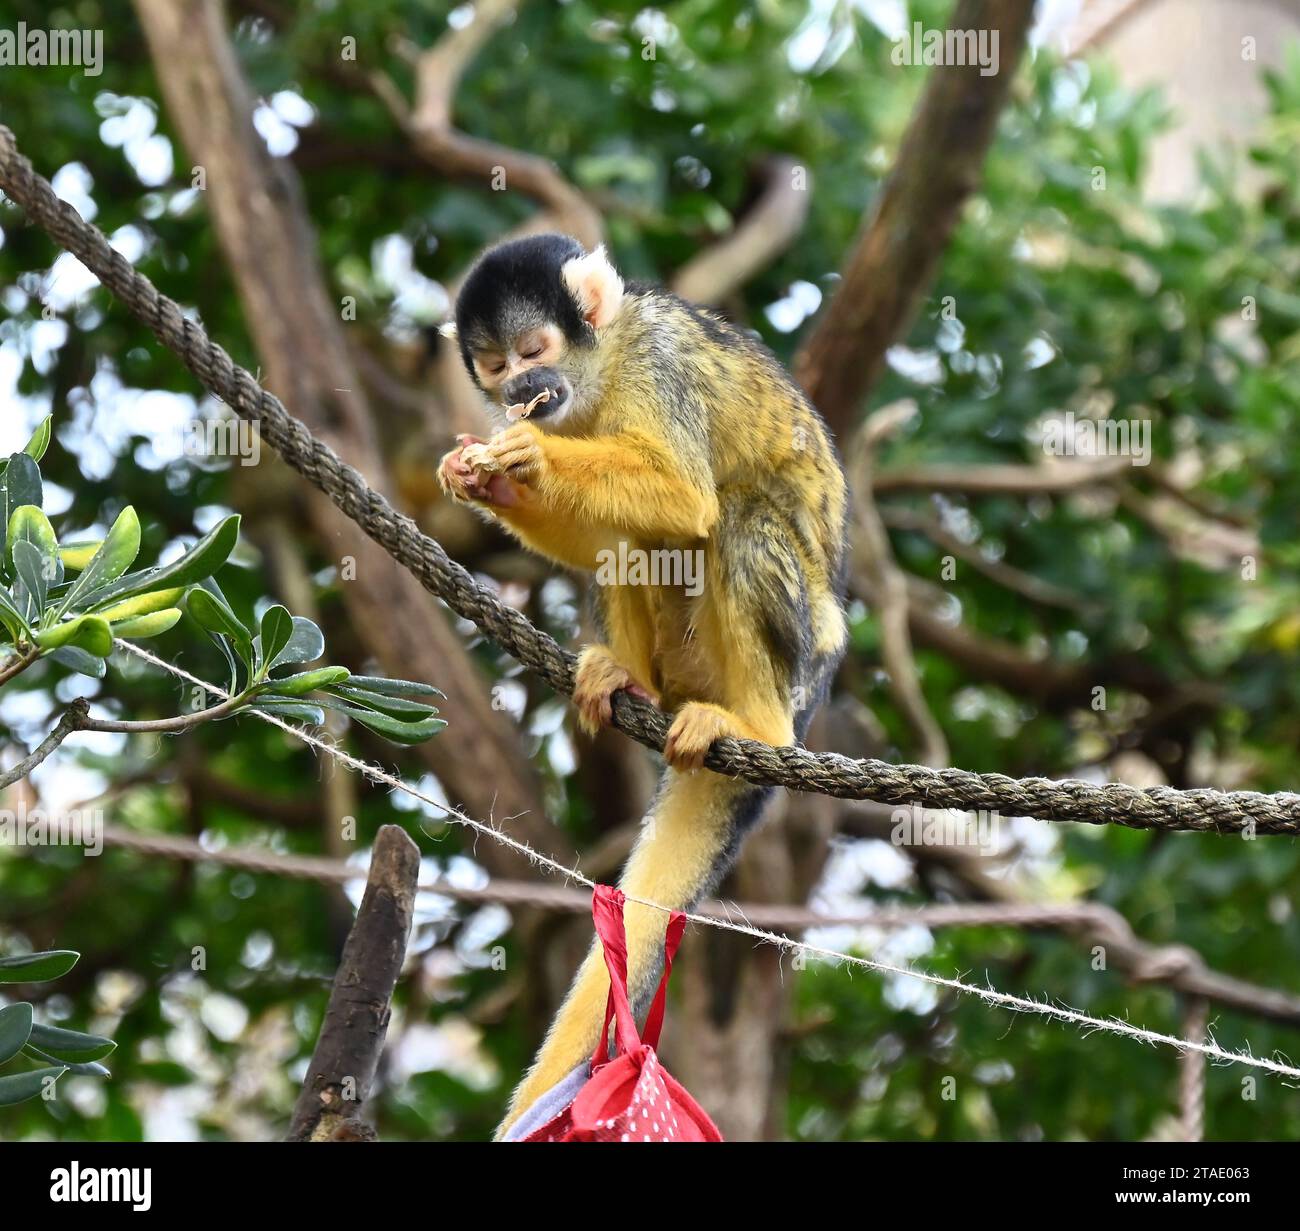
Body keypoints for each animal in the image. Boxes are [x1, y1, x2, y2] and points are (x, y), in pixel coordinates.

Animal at [436, 235, 847, 1138]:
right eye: (494, 367)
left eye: (532, 353)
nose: (516, 394)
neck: (604, 363)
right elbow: (602, 534)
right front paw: (492, 478)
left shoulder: (658, 366)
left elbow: (685, 496)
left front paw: (529, 457)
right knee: (630, 538)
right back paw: (621, 677)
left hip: (801, 650)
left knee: (732, 514)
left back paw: (756, 724)